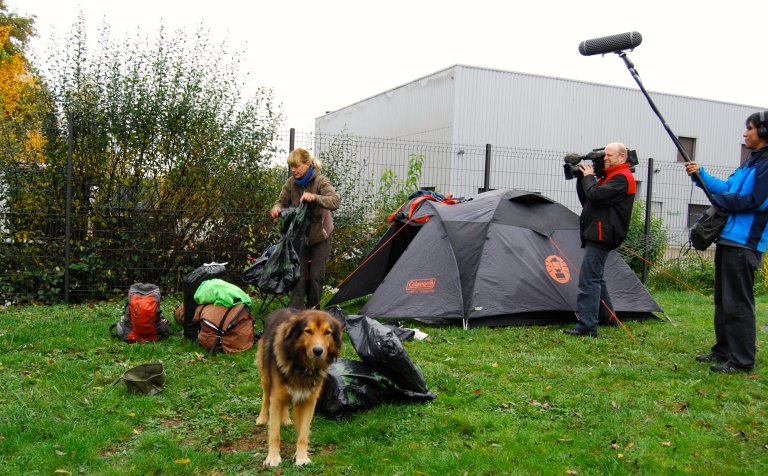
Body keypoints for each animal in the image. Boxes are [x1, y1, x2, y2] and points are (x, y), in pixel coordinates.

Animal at [255, 306, 342, 466]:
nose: (318, 351)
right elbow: (274, 433)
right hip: (265, 376)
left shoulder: (309, 401)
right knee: (265, 397)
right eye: (308, 331)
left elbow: (303, 433)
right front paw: (273, 458)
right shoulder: (276, 397)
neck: (303, 367)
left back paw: (285, 419)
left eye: (327, 332)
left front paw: (302, 457)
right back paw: (262, 418)